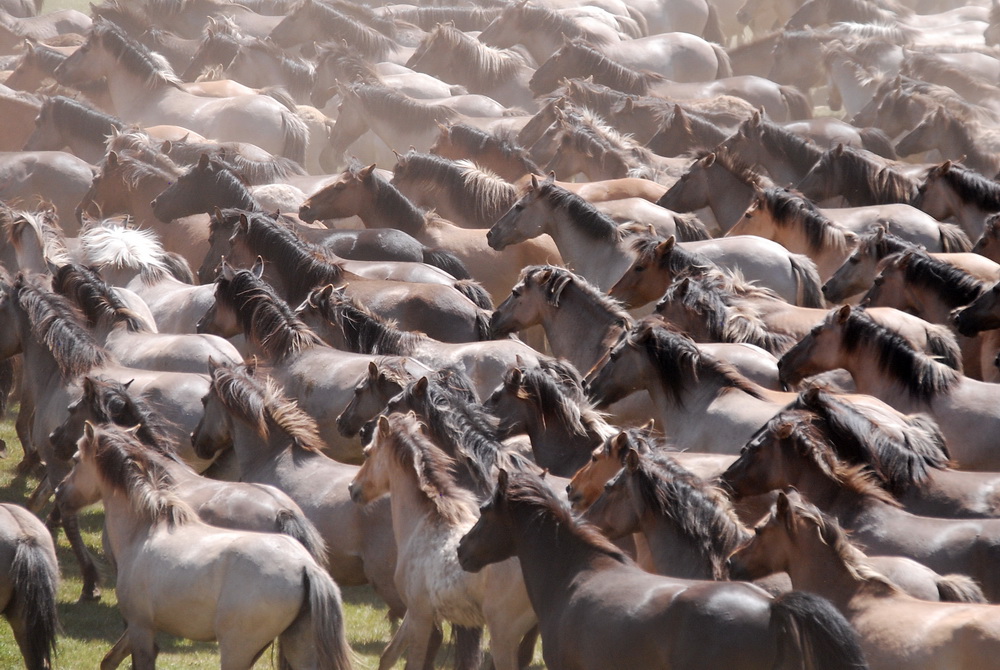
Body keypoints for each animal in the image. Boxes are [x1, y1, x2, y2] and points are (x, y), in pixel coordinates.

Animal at [57, 426, 356, 670]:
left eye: (76, 459)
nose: (60, 493)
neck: (144, 530)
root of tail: (305, 566)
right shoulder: (136, 629)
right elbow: (109, 659)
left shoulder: (141, 627)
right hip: (298, 644)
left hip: (237, 650)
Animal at [352, 414, 540, 670]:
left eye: (367, 453)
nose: (353, 488)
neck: (424, 522)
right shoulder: (415, 611)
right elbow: (388, 655)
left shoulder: (420, 615)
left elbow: (414, 661)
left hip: (503, 636)